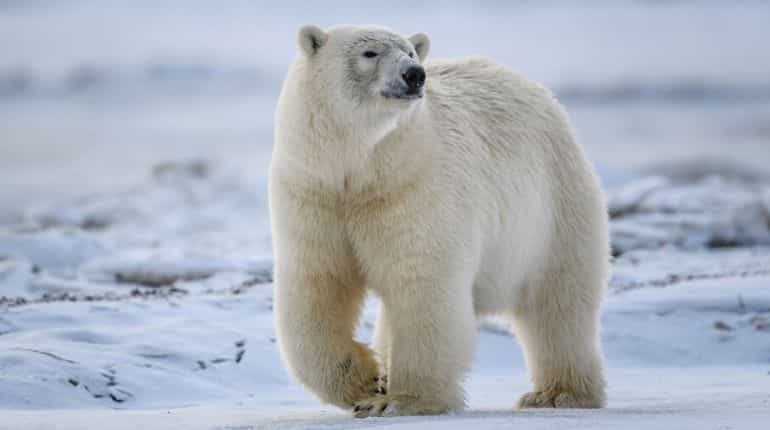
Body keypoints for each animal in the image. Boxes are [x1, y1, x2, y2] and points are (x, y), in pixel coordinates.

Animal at [269, 24, 609, 418]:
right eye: (370, 53)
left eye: (410, 52)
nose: (414, 75)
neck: (359, 171)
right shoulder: (314, 193)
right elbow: (318, 285)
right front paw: (367, 382)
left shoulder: (412, 188)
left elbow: (422, 284)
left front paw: (402, 400)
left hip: (552, 208)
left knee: (558, 304)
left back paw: (558, 393)